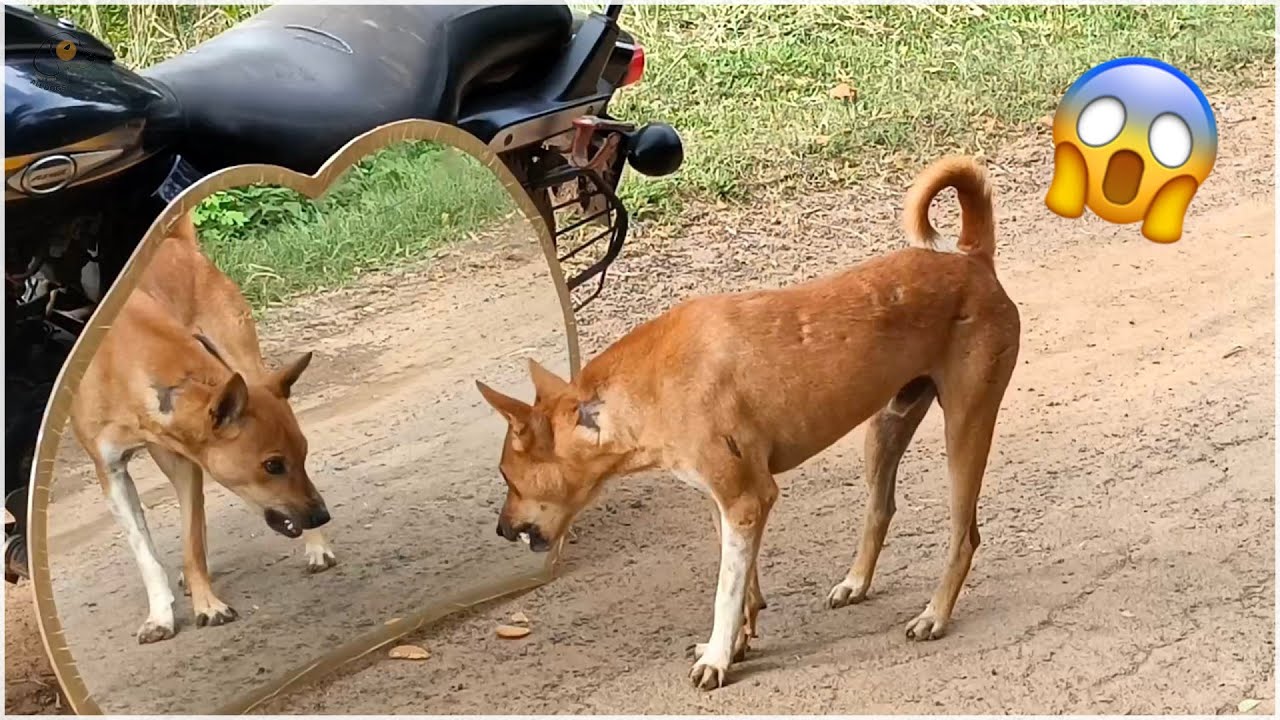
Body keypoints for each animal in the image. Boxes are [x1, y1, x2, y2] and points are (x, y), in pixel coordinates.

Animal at [70, 210, 335, 640]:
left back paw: (315, 547)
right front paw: (160, 614)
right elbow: (146, 553)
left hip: (244, 362)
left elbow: (192, 540)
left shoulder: (184, 464)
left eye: (306, 455)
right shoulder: (111, 471)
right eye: (273, 465)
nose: (322, 516)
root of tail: (178, 242)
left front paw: (207, 604)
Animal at [476, 158, 1024, 691]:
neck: (641, 391)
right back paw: (856, 582)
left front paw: (718, 657)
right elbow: (746, 587)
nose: (500, 530)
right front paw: (738, 643)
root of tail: (971, 259)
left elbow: (725, 592)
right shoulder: (732, 503)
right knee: (881, 509)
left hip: (966, 428)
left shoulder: (746, 500)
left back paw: (935, 614)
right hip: (886, 427)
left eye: (507, 478)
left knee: (964, 537)